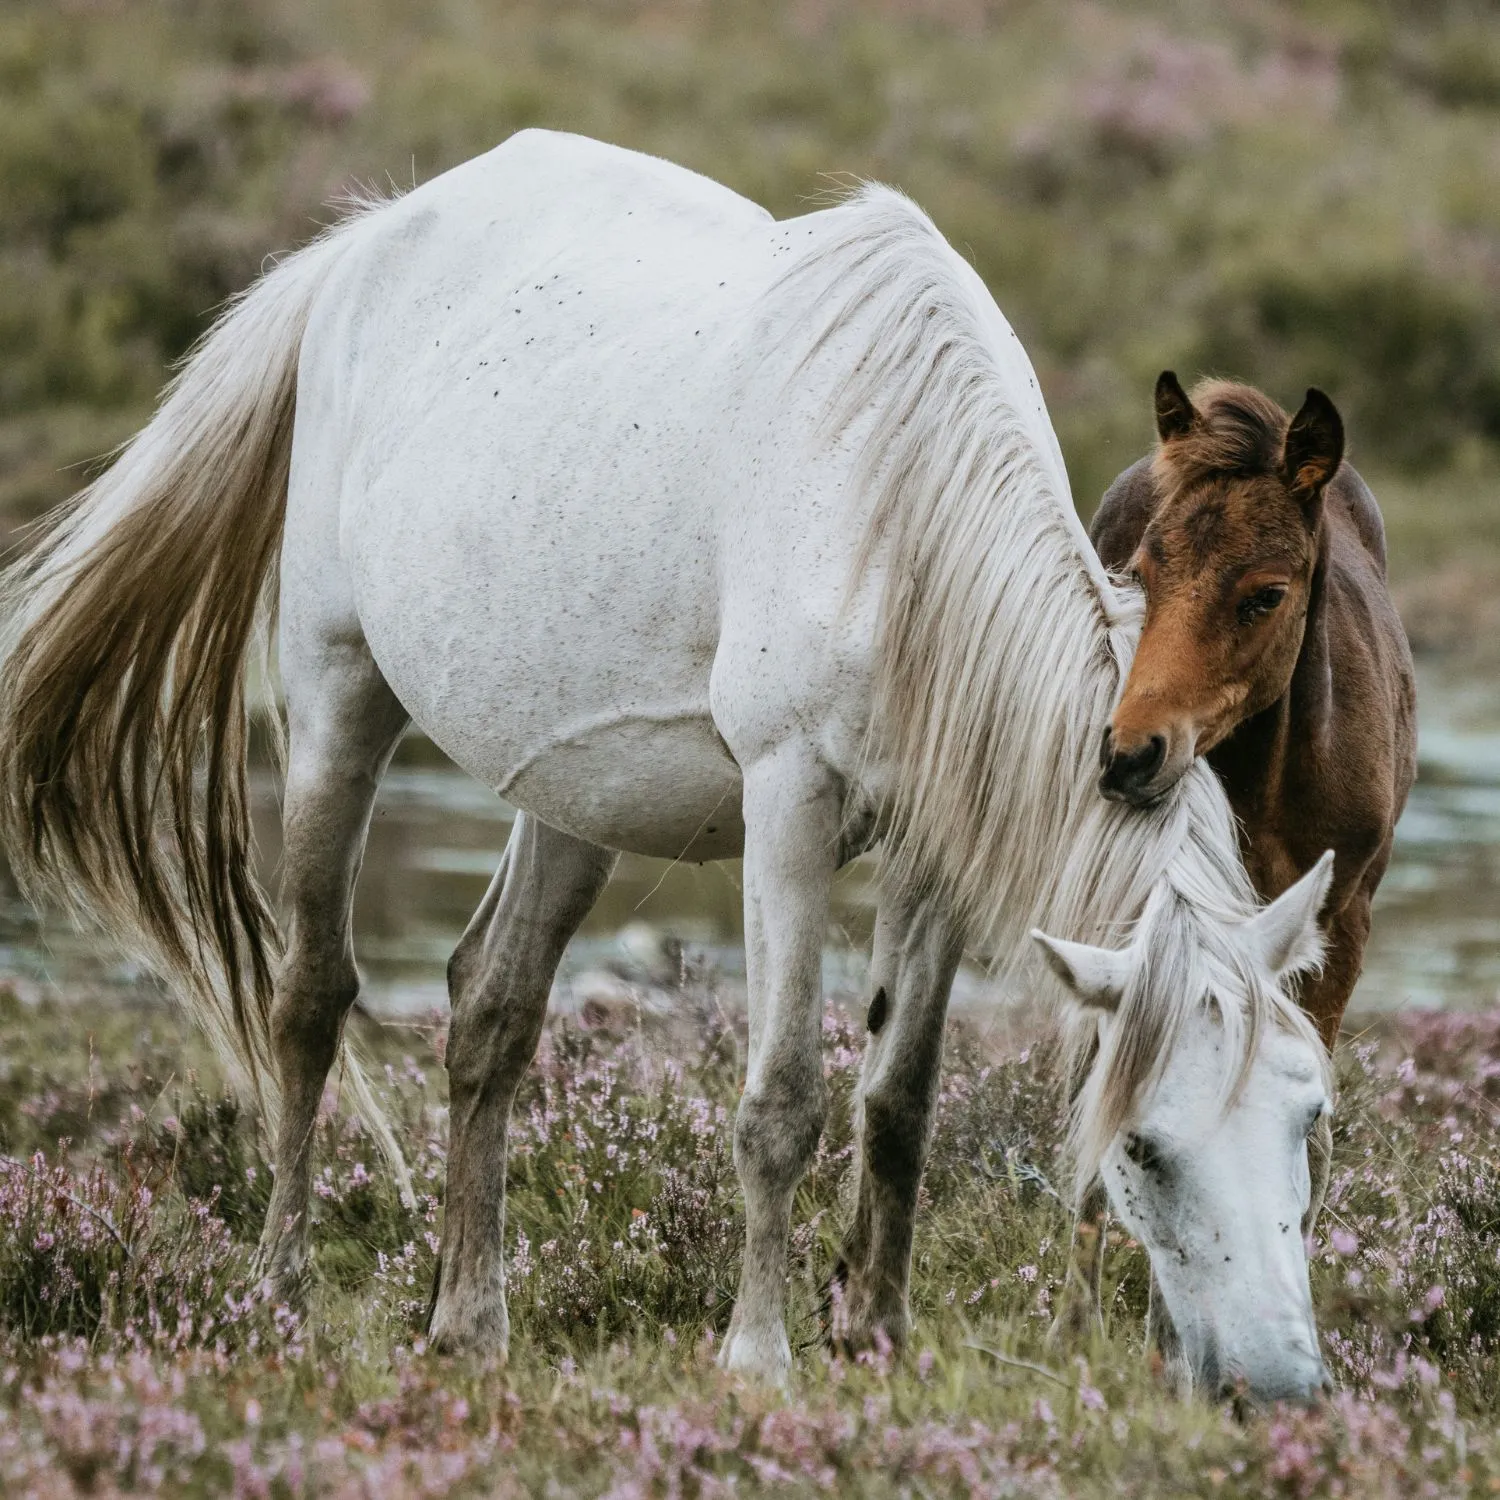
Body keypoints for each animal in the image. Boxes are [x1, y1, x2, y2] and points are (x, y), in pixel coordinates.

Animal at [0, 131, 1335, 1402]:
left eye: (1309, 1117)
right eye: (1144, 1146)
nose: (1273, 1384)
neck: (897, 519)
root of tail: (362, 245)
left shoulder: (936, 846)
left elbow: (899, 1103)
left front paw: (880, 1338)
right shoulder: (790, 804)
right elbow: (782, 1101)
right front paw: (759, 1356)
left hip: (572, 793)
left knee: (491, 1007)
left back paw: (467, 1321)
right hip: (338, 698)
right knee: (308, 1001)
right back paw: (277, 1291)